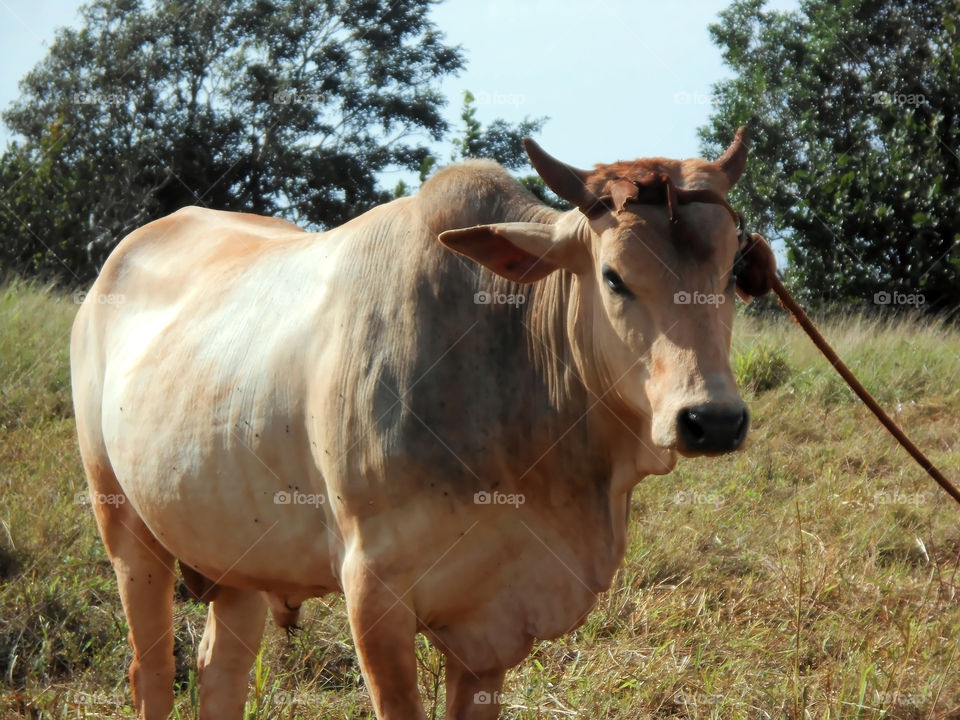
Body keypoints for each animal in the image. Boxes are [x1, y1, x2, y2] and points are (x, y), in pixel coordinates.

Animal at [70, 126, 775, 719]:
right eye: (613, 277)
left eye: (730, 272)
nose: (712, 420)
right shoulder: (373, 591)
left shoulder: (494, 627)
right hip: (125, 526)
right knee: (153, 673)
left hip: (233, 556)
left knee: (221, 677)